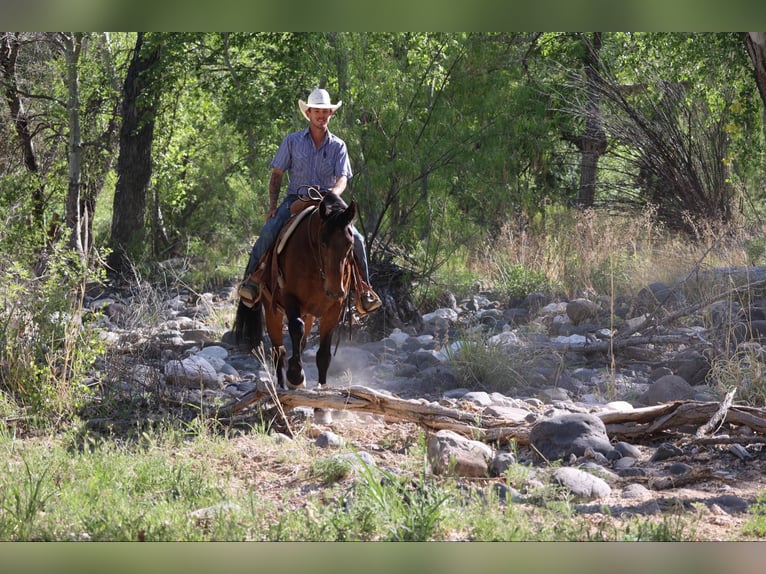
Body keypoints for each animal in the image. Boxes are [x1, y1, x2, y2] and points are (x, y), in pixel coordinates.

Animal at [233, 192, 358, 390]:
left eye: (350, 243)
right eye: (323, 243)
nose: (334, 289)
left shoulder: (334, 308)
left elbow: (323, 354)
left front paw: (322, 387)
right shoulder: (290, 298)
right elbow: (295, 328)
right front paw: (295, 376)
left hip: (309, 314)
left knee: (300, 343)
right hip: (273, 311)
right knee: (278, 351)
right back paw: (283, 384)